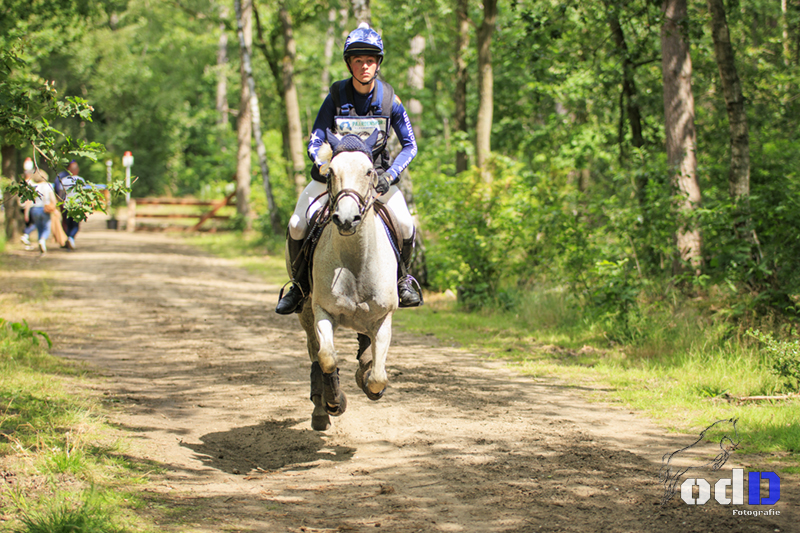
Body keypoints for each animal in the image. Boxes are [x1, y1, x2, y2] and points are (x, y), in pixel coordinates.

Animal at [294, 130, 400, 432]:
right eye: (330, 172)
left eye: (369, 171)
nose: (345, 218)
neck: (355, 260)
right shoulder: (322, 311)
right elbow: (327, 359)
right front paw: (334, 401)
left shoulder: (383, 316)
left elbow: (378, 376)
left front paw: (368, 380)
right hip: (305, 312)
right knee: (315, 353)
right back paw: (321, 411)